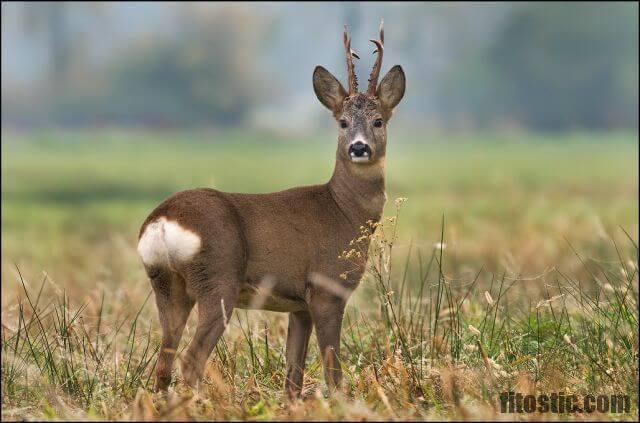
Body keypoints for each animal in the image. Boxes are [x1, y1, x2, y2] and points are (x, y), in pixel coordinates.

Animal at [138, 22, 404, 400]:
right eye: (342, 122)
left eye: (379, 121)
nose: (359, 147)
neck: (343, 210)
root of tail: (162, 222)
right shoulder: (326, 287)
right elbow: (332, 369)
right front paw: (342, 403)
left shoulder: (299, 305)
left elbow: (293, 375)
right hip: (218, 280)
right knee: (191, 360)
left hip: (167, 285)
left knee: (163, 363)